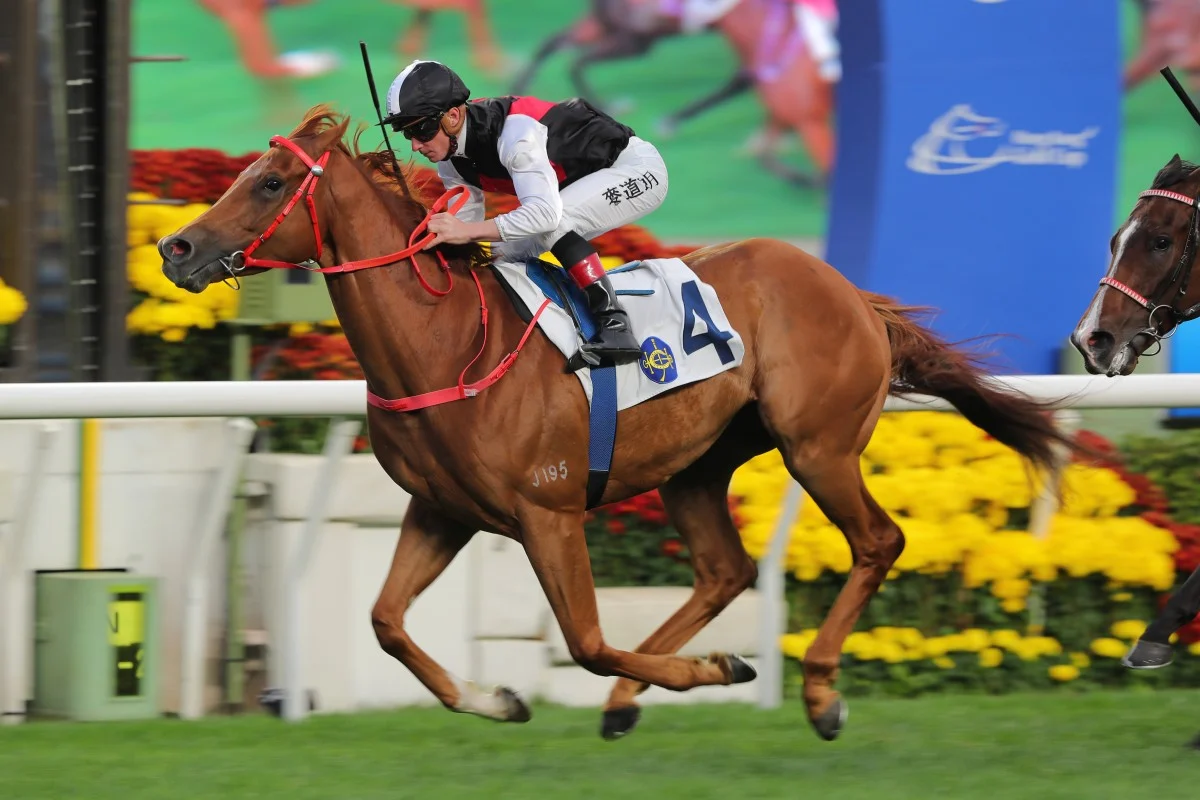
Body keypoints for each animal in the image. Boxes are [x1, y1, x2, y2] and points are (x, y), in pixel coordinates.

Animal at [158, 104, 1075, 741]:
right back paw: (634, 700)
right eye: (246, 173)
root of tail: (847, 289)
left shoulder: (548, 512)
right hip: (699, 464)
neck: (445, 345)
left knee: (877, 542)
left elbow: (589, 640)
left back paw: (817, 691)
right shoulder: (443, 509)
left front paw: (717, 669)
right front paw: (499, 699)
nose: (176, 248)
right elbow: (386, 625)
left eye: (270, 184)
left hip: (816, 445)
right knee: (726, 572)